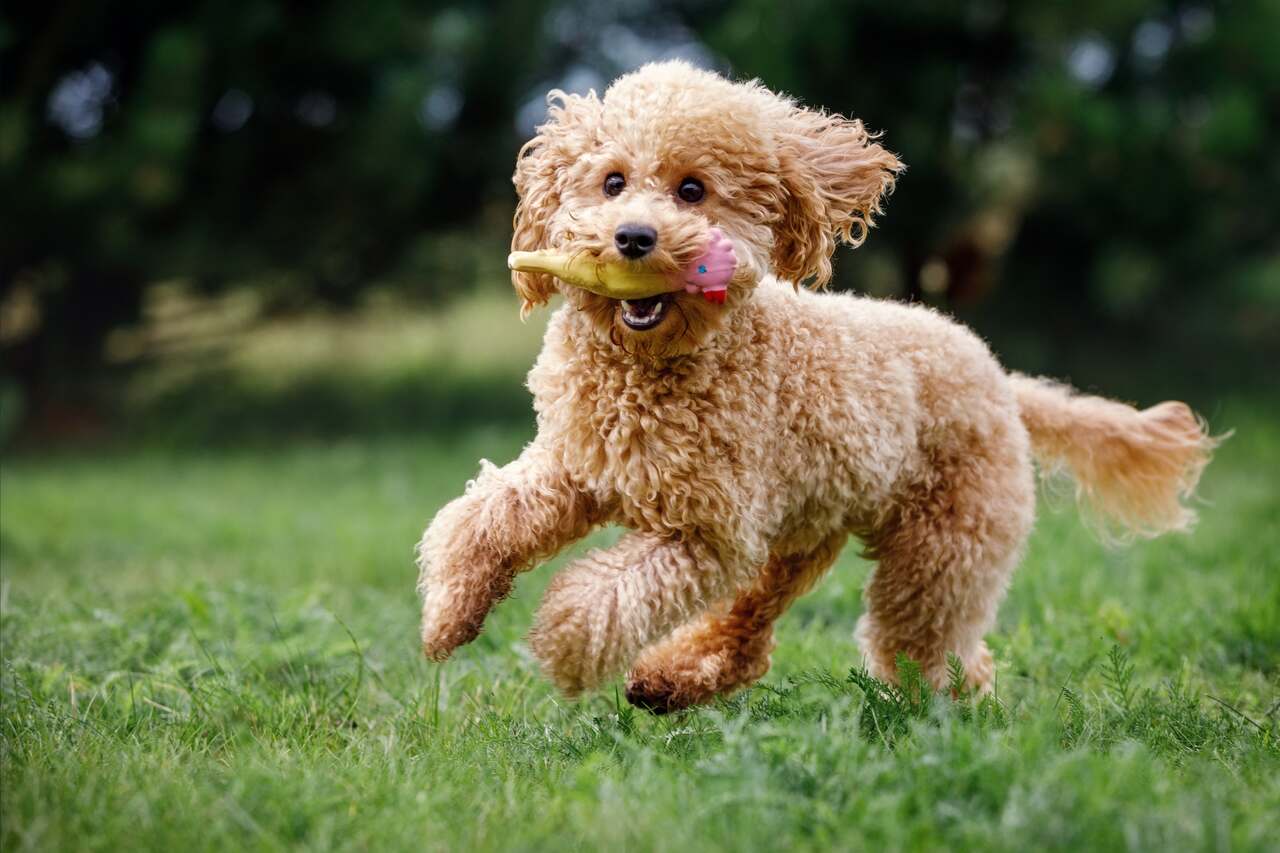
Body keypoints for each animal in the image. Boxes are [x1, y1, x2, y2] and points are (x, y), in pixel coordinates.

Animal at [414, 61, 1213, 712]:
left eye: (692, 190)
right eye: (612, 182)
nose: (633, 238)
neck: (653, 363)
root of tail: (996, 374)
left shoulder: (706, 532)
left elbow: (605, 596)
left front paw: (562, 645)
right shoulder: (574, 468)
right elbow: (482, 520)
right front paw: (449, 616)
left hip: (940, 547)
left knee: (931, 648)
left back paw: (937, 717)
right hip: (801, 538)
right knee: (751, 634)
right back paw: (669, 683)